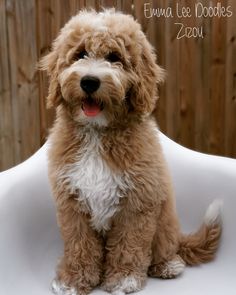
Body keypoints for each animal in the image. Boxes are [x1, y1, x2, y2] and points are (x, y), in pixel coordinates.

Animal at [39, 9, 222, 295]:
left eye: (114, 57)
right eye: (80, 54)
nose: (89, 82)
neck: (98, 133)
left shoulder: (138, 202)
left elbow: (129, 242)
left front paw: (123, 278)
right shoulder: (72, 203)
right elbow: (79, 243)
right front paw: (73, 279)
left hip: (165, 222)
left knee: (165, 248)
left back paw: (168, 265)